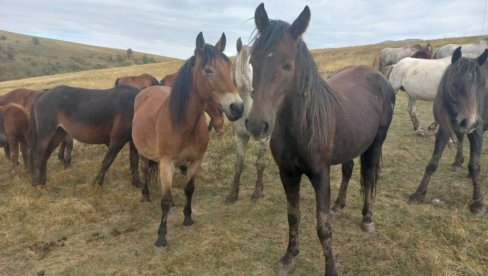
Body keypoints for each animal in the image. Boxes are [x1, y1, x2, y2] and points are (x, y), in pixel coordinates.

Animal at [132, 31, 244, 250]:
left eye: (229, 68)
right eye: (208, 70)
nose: (237, 108)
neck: (183, 125)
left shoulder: (195, 161)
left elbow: (189, 190)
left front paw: (188, 218)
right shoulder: (167, 163)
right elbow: (164, 201)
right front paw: (161, 237)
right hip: (143, 153)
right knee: (144, 170)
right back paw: (146, 194)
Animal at [226, 37, 270, 204]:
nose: (256, 91)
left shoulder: (265, 138)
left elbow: (260, 164)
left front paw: (257, 193)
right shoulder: (240, 137)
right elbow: (239, 164)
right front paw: (232, 194)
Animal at [248, 3, 396, 274]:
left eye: (287, 65)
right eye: (253, 61)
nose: (256, 124)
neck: (300, 125)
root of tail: (379, 76)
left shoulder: (320, 175)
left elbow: (323, 228)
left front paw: (330, 269)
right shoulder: (288, 173)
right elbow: (293, 216)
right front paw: (289, 256)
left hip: (376, 142)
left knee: (369, 176)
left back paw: (367, 218)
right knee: (349, 169)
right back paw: (338, 206)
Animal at [408, 47, 488, 215]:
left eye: (480, 84)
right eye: (455, 83)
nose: (469, 121)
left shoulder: (476, 132)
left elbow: (474, 166)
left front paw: (478, 202)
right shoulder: (445, 129)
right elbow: (433, 162)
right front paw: (419, 193)